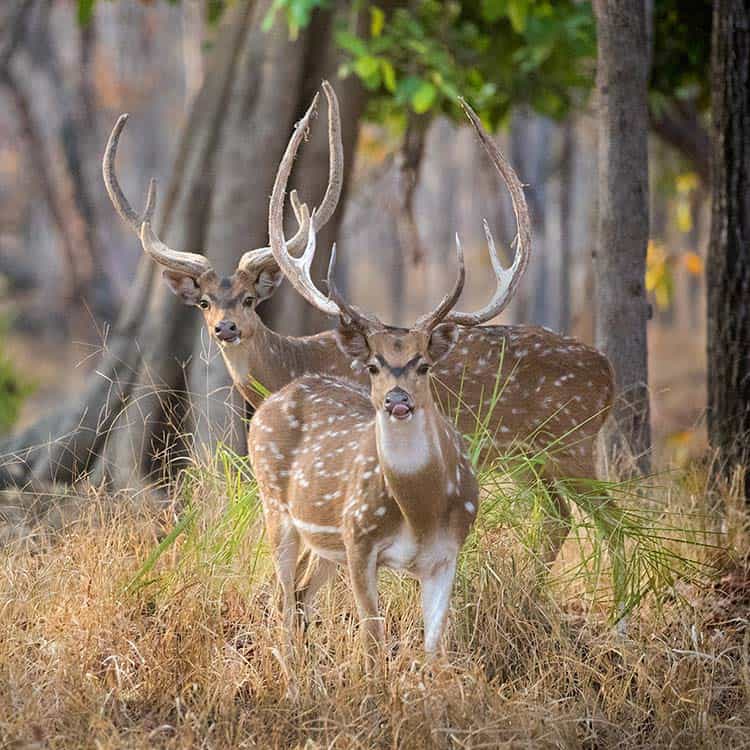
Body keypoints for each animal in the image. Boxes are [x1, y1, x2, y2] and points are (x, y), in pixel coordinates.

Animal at [104, 82, 617, 572]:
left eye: (250, 300)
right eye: (204, 302)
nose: (226, 329)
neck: (292, 364)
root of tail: (609, 375)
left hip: (571, 443)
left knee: (614, 516)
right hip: (530, 458)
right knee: (559, 517)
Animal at [248, 234, 478, 664]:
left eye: (423, 365)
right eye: (373, 365)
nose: (397, 400)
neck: (420, 513)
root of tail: (272, 400)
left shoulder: (448, 552)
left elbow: (434, 649)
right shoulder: (359, 539)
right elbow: (373, 639)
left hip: (324, 543)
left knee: (299, 593)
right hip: (275, 505)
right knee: (284, 599)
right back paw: (290, 671)